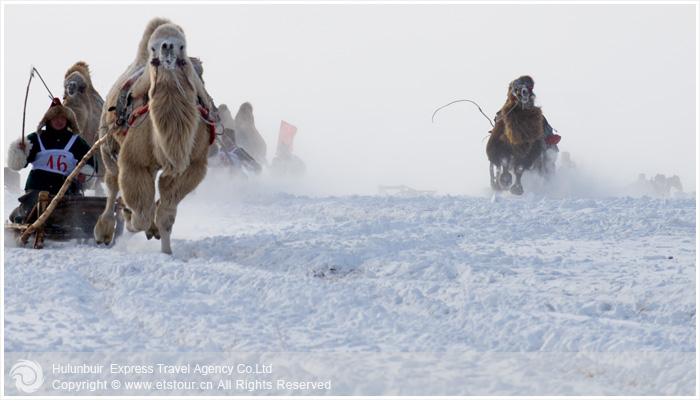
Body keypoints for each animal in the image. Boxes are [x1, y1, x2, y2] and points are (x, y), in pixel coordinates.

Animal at [93, 18, 215, 253]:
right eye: (153, 47)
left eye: (182, 46)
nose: (167, 47)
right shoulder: (135, 162)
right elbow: (142, 215)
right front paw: (129, 218)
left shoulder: (190, 167)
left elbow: (166, 215)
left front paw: (167, 251)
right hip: (107, 144)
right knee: (112, 183)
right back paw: (104, 231)